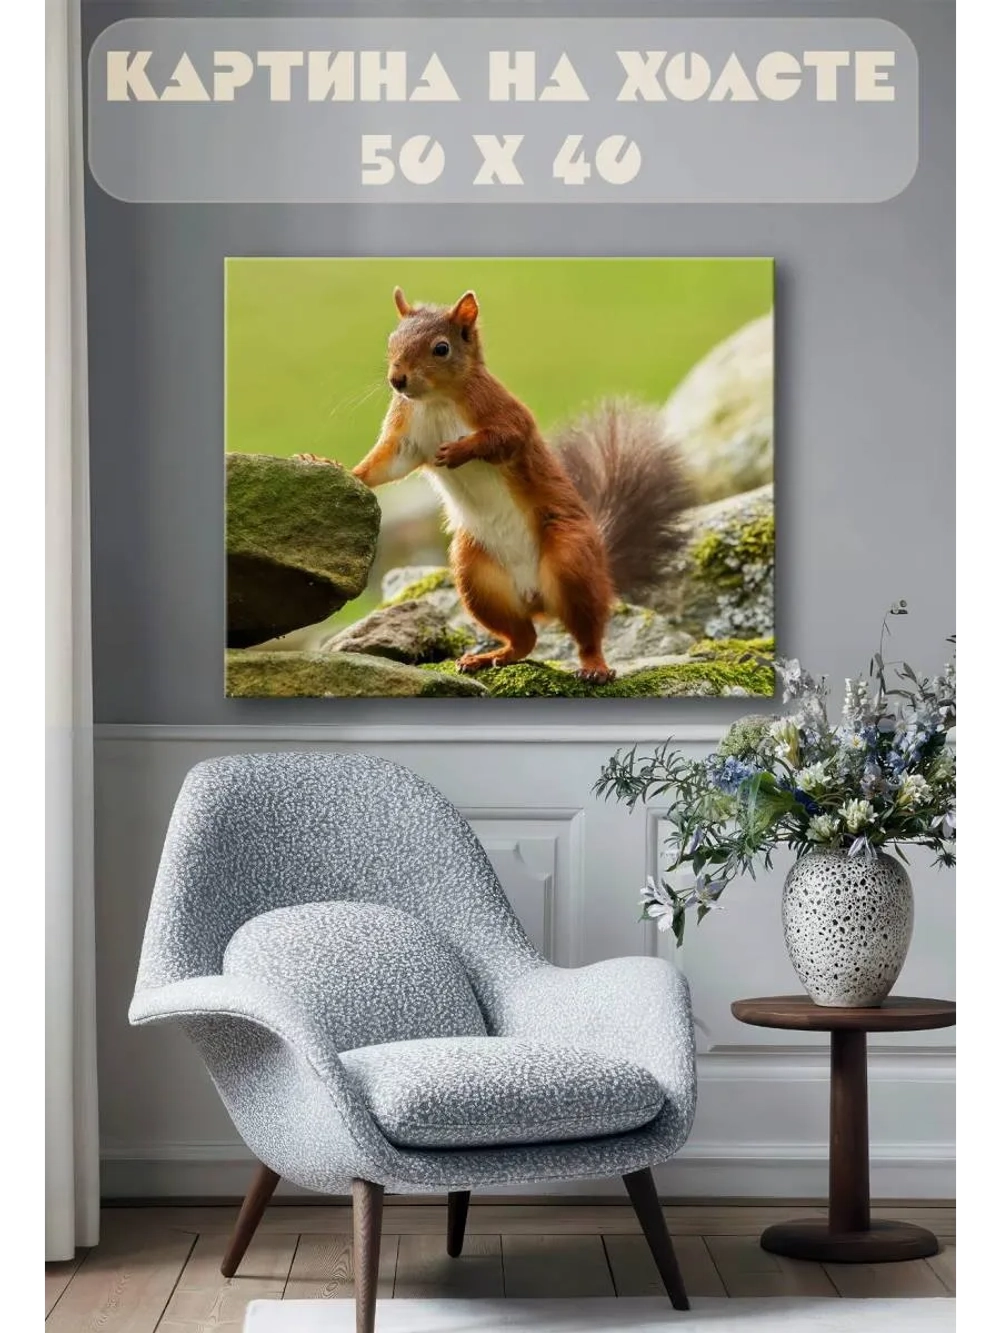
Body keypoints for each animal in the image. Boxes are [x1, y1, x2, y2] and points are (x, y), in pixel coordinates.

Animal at [296, 287, 692, 683]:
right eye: (391, 341)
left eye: (441, 348)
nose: (398, 380)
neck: (436, 401)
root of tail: (537, 598)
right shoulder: (405, 438)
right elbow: (383, 467)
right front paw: (332, 466)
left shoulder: (504, 413)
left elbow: (503, 439)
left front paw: (459, 450)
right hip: (476, 578)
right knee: (524, 639)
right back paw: (487, 657)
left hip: (571, 558)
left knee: (587, 630)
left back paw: (594, 666)